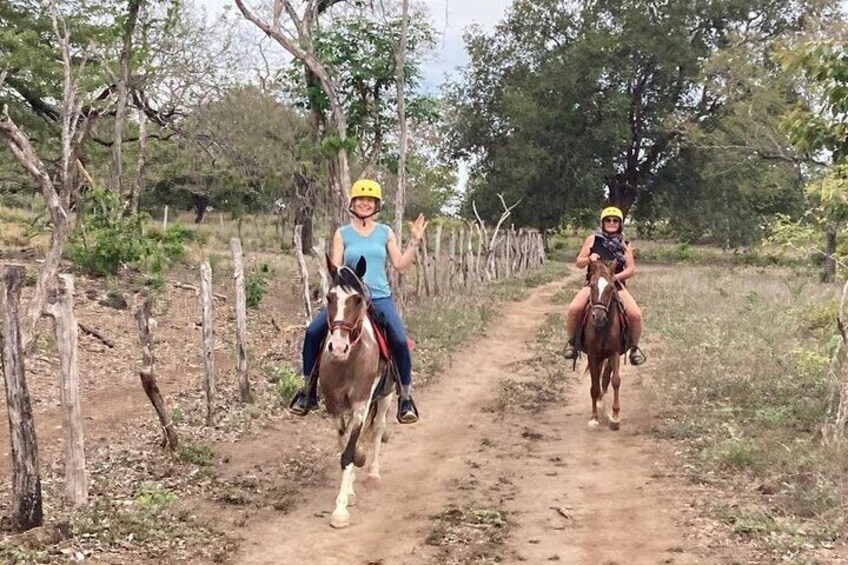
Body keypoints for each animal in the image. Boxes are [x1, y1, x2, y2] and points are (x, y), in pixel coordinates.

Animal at [320, 256, 396, 528]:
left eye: (357, 300)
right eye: (329, 298)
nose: (337, 347)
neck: (348, 362)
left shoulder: (362, 404)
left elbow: (349, 452)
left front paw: (340, 510)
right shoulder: (334, 407)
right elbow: (345, 446)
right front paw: (350, 491)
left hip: (386, 396)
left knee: (379, 428)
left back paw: (373, 472)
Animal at [580, 262, 628, 430]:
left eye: (611, 287)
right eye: (592, 285)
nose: (599, 317)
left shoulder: (614, 352)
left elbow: (616, 381)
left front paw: (615, 417)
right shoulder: (592, 355)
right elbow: (594, 386)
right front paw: (594, 418)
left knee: (606, 374)